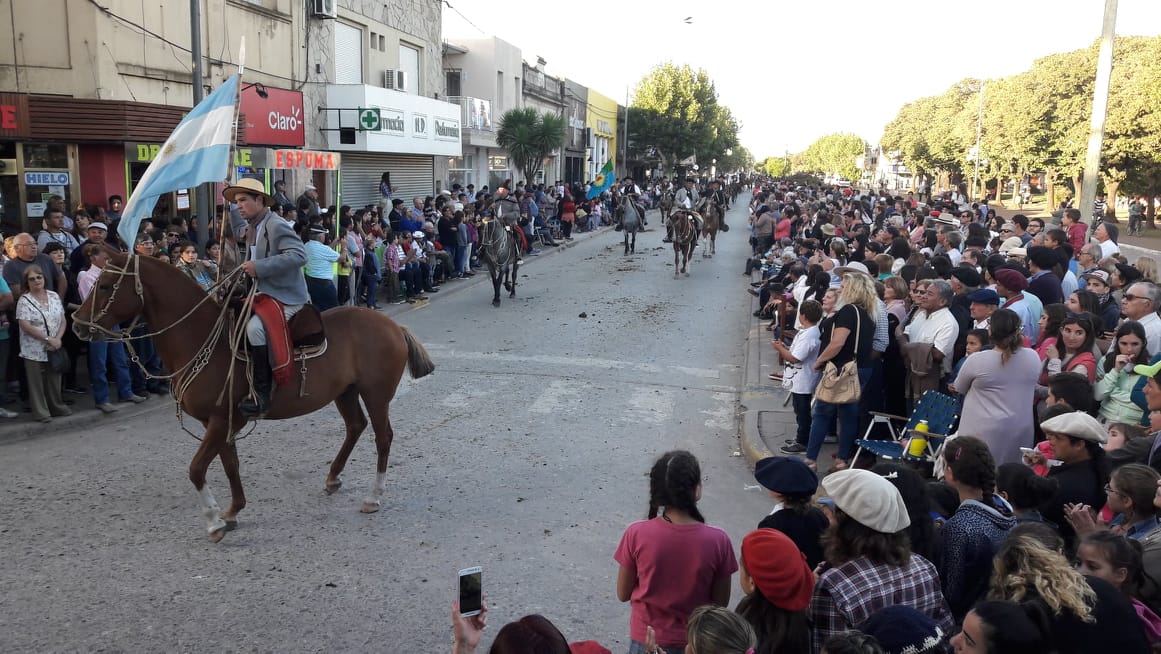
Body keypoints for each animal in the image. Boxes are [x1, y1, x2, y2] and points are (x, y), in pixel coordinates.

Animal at [72, 249, 436, 543]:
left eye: (106, 286)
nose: (76, 325)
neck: (202, 338)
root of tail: (391, 325)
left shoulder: (220, 420)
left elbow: (196, 469)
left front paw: (214, 523)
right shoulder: (222, 422)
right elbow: (229, 464)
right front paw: (233, 511)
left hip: (376, 395)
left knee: (383, 437)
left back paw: (374, 496)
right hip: (345, 392)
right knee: (355, 427)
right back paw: (333, 477)